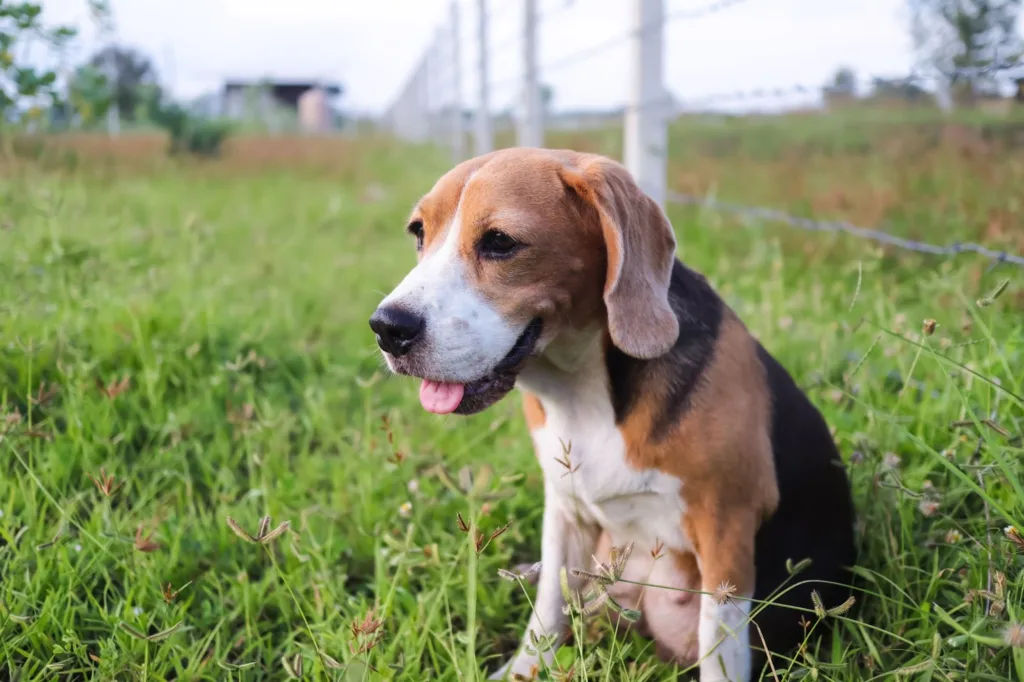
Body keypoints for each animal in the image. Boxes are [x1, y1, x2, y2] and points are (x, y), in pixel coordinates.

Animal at [368, 148, 856, 679]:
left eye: (500, 242)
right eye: (419, 232)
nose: (387, 328)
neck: (580, 394)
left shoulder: (725, 531)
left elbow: (719, 651)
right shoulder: (566, 511)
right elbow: (547, 611)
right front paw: (523, 670)